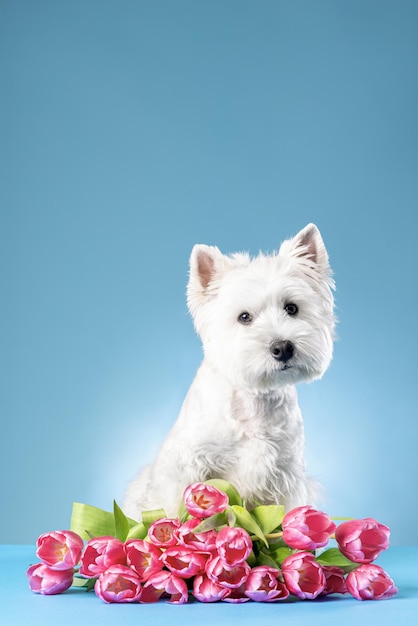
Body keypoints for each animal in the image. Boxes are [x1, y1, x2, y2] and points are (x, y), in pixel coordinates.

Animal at [122, 223, 334, 516]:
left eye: (292, 308)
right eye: (244, 317)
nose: (282, 348)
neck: (254, 402)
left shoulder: (285, 475)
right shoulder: (186, 467)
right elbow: (173, 509)